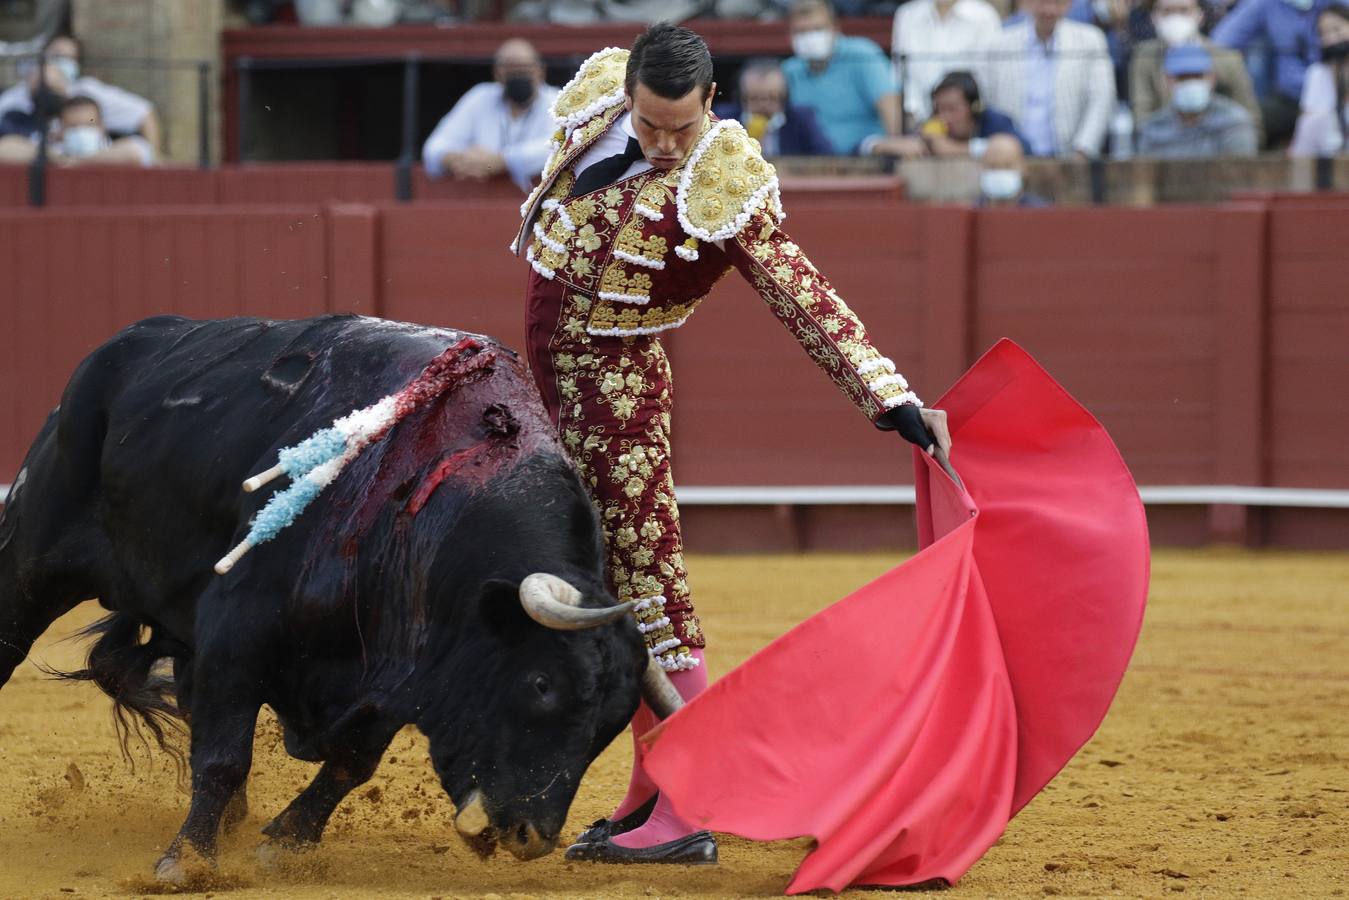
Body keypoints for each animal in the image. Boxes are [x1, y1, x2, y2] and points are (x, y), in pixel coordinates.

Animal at [0, 315, 685, 879]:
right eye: (542, 683)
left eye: (612, 724)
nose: (529, 837)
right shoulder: (237, 632)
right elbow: (224, 755)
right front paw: (186, 861)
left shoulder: (398, 668)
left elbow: (352, 762)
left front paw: (285, 842)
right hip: (31, 554)